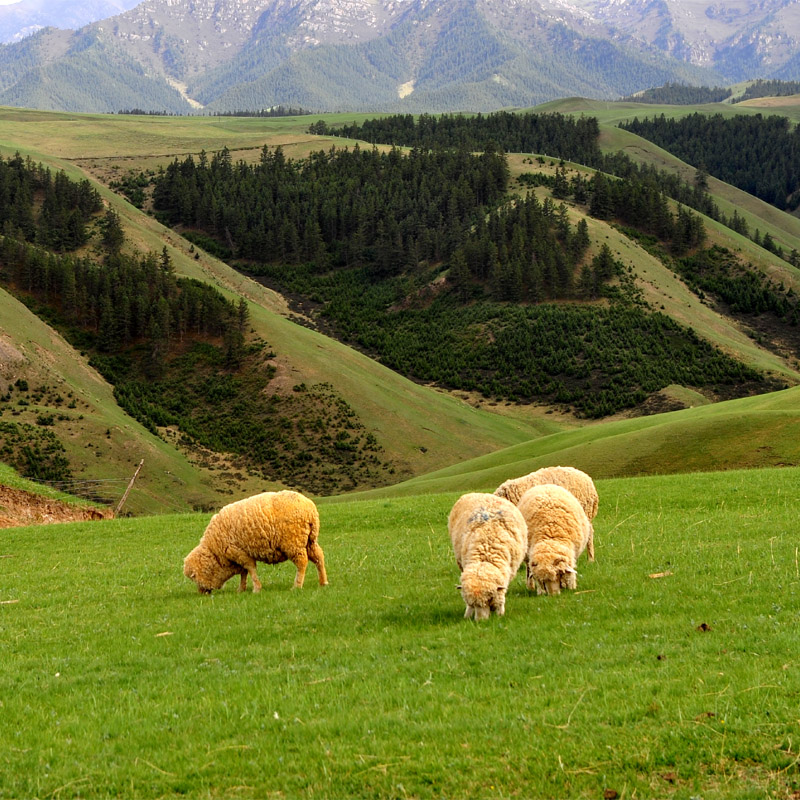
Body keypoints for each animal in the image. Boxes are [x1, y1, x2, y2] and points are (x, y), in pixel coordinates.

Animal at [184, 488, 328, 592]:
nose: (202, 593)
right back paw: (323, 582)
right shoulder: (239, 555)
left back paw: (297, 586)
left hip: (293, 542)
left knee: (302, 562)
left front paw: (256, 589)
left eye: (195, 578)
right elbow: (244, 572)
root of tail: (310, 509)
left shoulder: (237, 552)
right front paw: (241, 589)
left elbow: (250, 569)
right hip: (310, 540)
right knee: (319, 557)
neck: (215, 551)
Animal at [446, 490, 528, 620]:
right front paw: (467, 615)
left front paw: (500, 613)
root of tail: (476, 493)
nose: (480, 621)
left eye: (489, 600)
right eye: (472, 603)